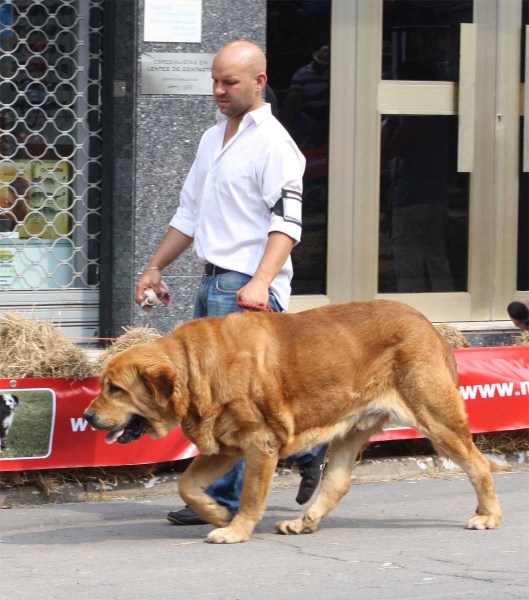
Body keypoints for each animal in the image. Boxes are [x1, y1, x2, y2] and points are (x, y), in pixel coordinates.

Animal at [84, 302, 502, 540]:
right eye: (103, 385)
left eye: (116, 389)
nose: (87, 416)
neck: (193, 369)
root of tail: (431, 326)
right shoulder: (225, 448)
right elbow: (187, 486)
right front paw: (218, 514)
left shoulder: (259, 445)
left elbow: (252, 495)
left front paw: (236, 530)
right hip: (352, 429)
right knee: (336, 483)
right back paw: (304, 523)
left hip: (436, 417)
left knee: (478, 464)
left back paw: (488, 516)